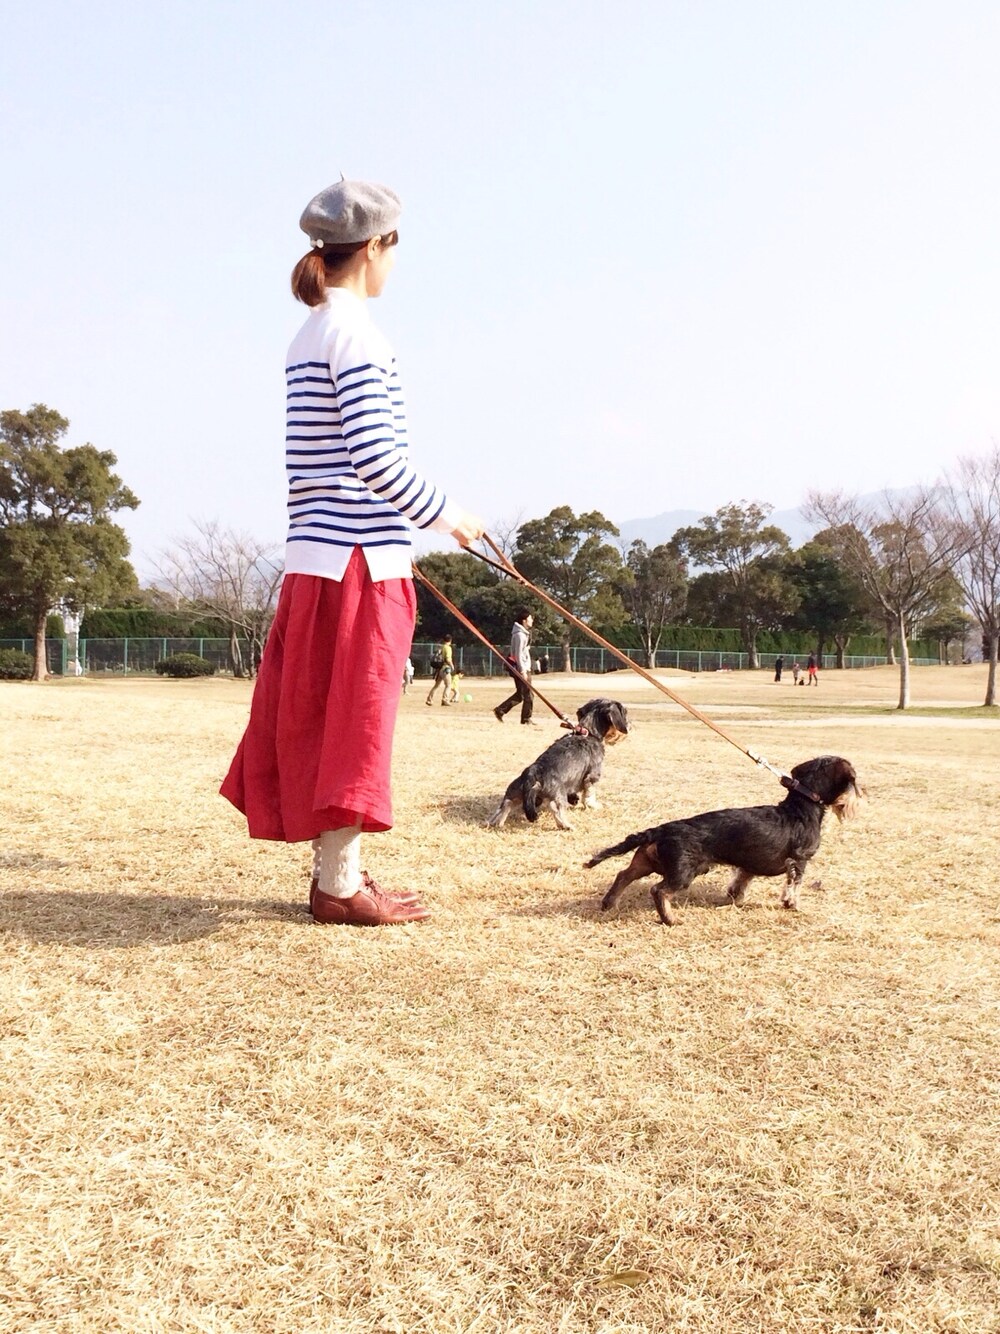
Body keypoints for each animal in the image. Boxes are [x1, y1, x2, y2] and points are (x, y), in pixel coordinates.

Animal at [487, 698, 630, 830]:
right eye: (625, 712)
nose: (630, 726)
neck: (587, 733)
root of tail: (532, 772)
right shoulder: (592, 777)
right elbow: (589, 795)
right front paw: (593, 805)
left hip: (516, 792)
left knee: (506, 804)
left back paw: (495, 823)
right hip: (558, 794)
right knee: (555, 807)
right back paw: (566, 825)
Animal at [586, 755, 862, 924]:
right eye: (854, 780)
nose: (860, 798)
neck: (801, 806)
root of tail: (660, 830)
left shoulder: (749, 865)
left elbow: (740, 882)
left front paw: (734, 898)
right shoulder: (799, 860)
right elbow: (794, 885)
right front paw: (791, 905)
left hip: (645, 861)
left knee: (623, 875)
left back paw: (609, 904)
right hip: (683, 873)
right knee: (659, 890)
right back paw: (670, 920)